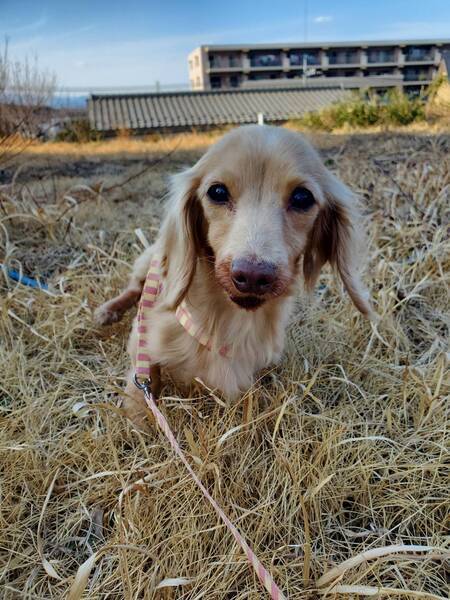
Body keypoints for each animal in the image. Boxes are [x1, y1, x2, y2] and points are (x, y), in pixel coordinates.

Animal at [95, 125, 372, 426]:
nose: (252, 276)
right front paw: (137, 418)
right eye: (217, 191)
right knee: (134, 288)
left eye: (302, 197)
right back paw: (108, 311)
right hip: (149, 260)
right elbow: (141, 386)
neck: (228, 322)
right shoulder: (143, 341)